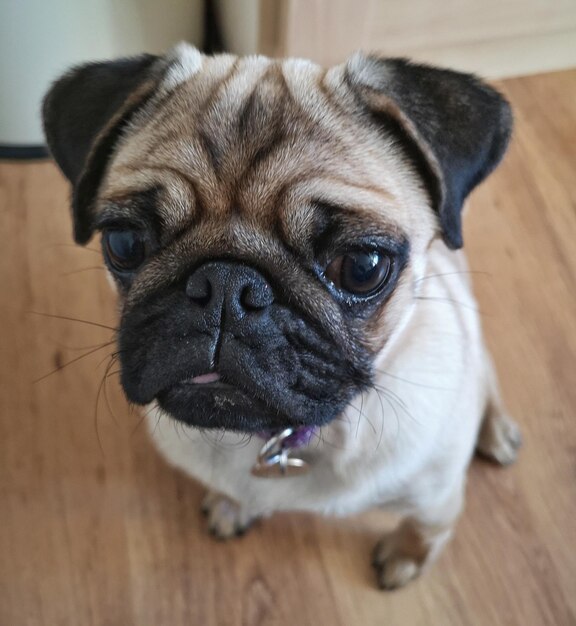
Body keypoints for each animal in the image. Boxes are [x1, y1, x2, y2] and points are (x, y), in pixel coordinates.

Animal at [42, 42, 520, 584]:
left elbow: (426, 531)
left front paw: (406, 558)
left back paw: (497, 430)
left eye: (361, 267)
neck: (281, 440)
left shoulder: (436, 497)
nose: (227, 285)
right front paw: (232, 506)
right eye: (124, 243)